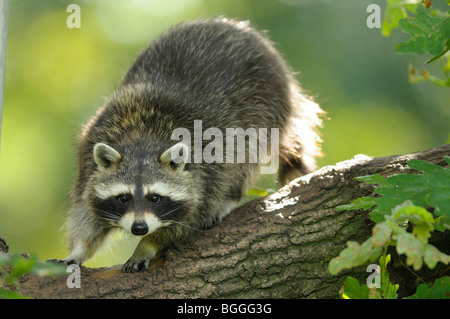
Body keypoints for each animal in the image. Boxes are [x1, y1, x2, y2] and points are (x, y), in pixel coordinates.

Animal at [50, 17, 324, 274]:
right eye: (123, 198)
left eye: (155, 198)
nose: (140, 228)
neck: (142, 138)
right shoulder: (89, 154)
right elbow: (85, 211)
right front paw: (80, 249)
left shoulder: (206, 169)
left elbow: (190, 218)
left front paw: (147, 244)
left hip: (266, 104)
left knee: (246, 153)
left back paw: (231, 196)